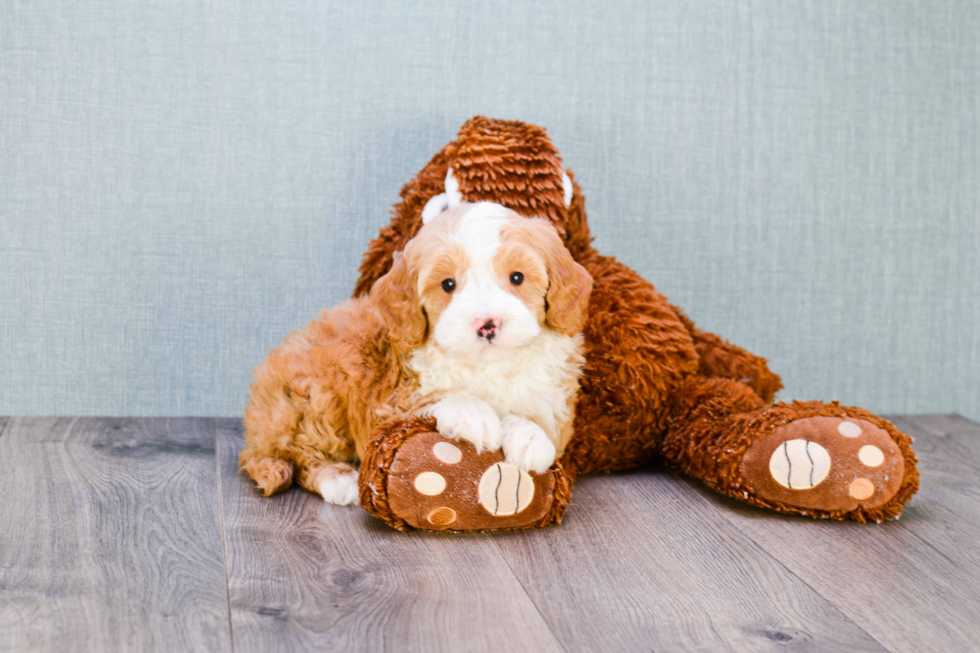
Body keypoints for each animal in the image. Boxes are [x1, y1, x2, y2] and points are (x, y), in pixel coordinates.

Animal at [241, 202, 592, 504]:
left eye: (517, 277)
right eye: (448, 284)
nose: (487, 324)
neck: (488, 368)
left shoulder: (558, 400)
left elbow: (543, 418)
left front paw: (531, 438)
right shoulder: (390, 402)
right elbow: (439, 398)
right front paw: (474, 415)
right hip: (317, 395)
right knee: (300, 454)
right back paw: (337, 480)